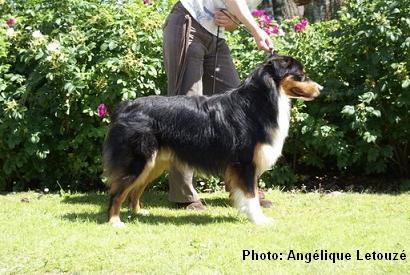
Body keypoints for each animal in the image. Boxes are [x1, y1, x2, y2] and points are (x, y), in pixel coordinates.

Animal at [104, 52, 322, 227]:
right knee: (117, 191)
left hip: (154, 162)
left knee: (135, 189)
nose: (321, 88)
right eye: (301, 75)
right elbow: (251, 195)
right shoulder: (245, 162)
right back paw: (115, 221)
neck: (260, 100)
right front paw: (259, 220)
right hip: (138, 160)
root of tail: (124, 106)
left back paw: (139, 213)